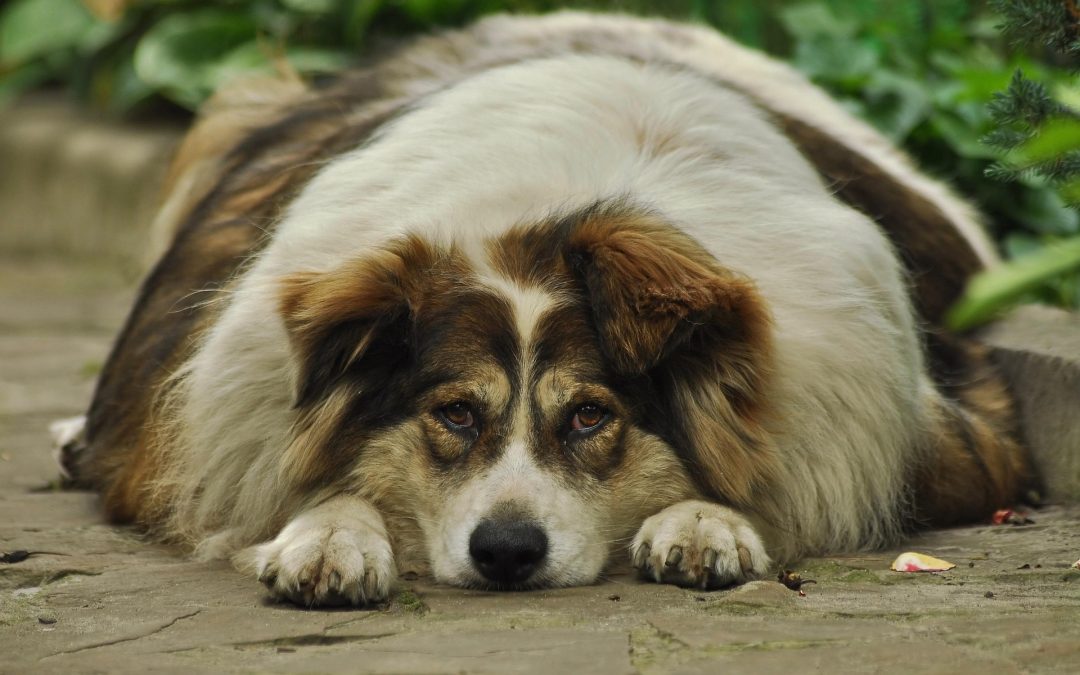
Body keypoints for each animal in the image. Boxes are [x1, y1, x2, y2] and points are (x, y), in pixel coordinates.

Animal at [61, 10, 1036, 604]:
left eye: (591, 416)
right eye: (454, 413)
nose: (506, 553)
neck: (554, 213)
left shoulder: (949, 440)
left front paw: (707, 519)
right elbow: (320, 483)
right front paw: (330, 535)